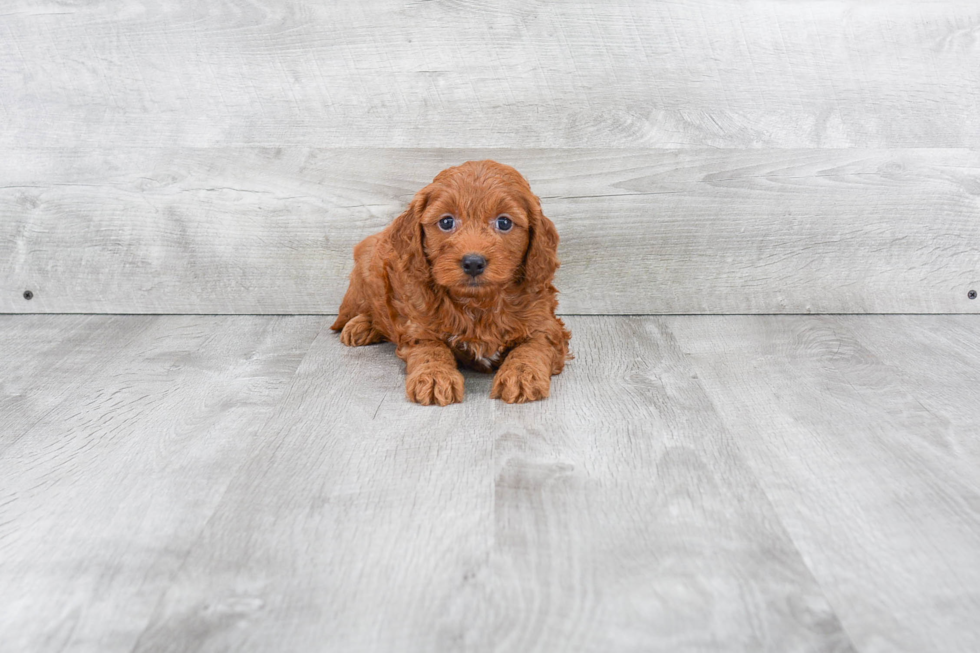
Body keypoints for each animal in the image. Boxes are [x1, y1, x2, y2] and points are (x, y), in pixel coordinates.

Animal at [334, 159, 572, 402]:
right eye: (446, 222)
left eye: (504, 223)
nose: (473, 263)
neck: (478, 303)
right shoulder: (419, 327)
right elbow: (431, 350)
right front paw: (434, 377)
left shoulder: (546, 325)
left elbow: (532, 348)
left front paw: (522, 375)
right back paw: (360, 326)